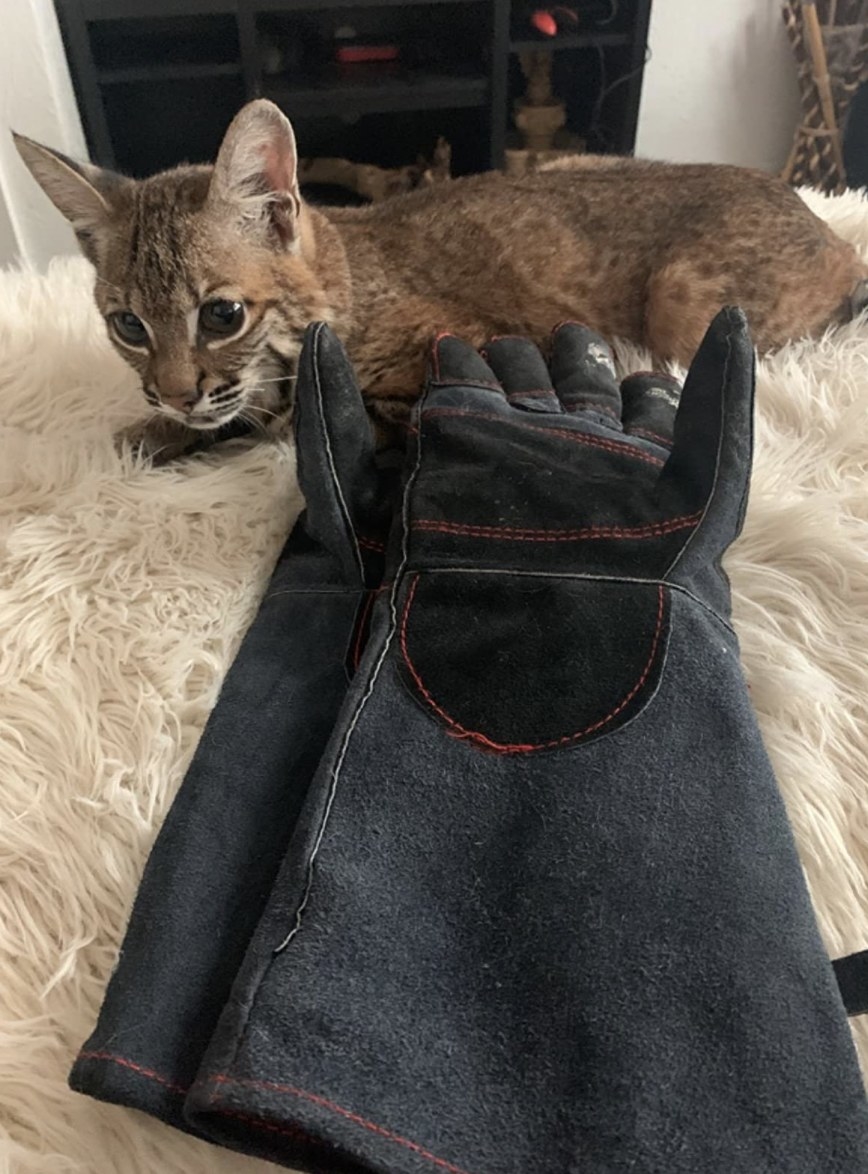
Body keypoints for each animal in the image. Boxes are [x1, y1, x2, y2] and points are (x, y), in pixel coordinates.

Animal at [13, 100, 868, 460]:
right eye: (128, 326)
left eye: (222, 316)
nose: (173, 395)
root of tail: (819, 217)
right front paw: (160, 429)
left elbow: (304, 414)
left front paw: (198, 429)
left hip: (679, 299)